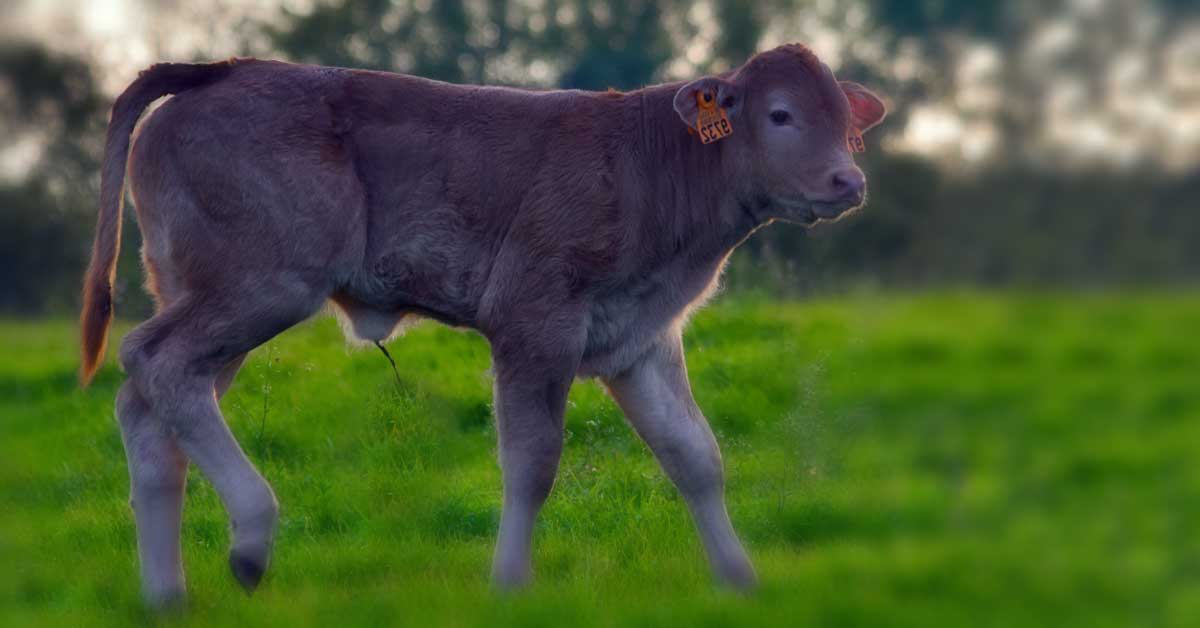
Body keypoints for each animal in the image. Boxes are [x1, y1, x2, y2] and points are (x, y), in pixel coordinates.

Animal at [82, 42, 883, 605]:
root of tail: (221, 72)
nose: (848, 181)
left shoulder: (642, 340)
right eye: (780, 115)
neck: (650, 166)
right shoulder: (534, 322)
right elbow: (532, 462)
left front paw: (740, 579)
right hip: (261, 285)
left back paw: (166, 594)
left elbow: (695, 456)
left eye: (847, 125)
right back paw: (250, 539)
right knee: (154, 361)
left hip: (206, 293)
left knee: (153, 407)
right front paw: (510, 583)